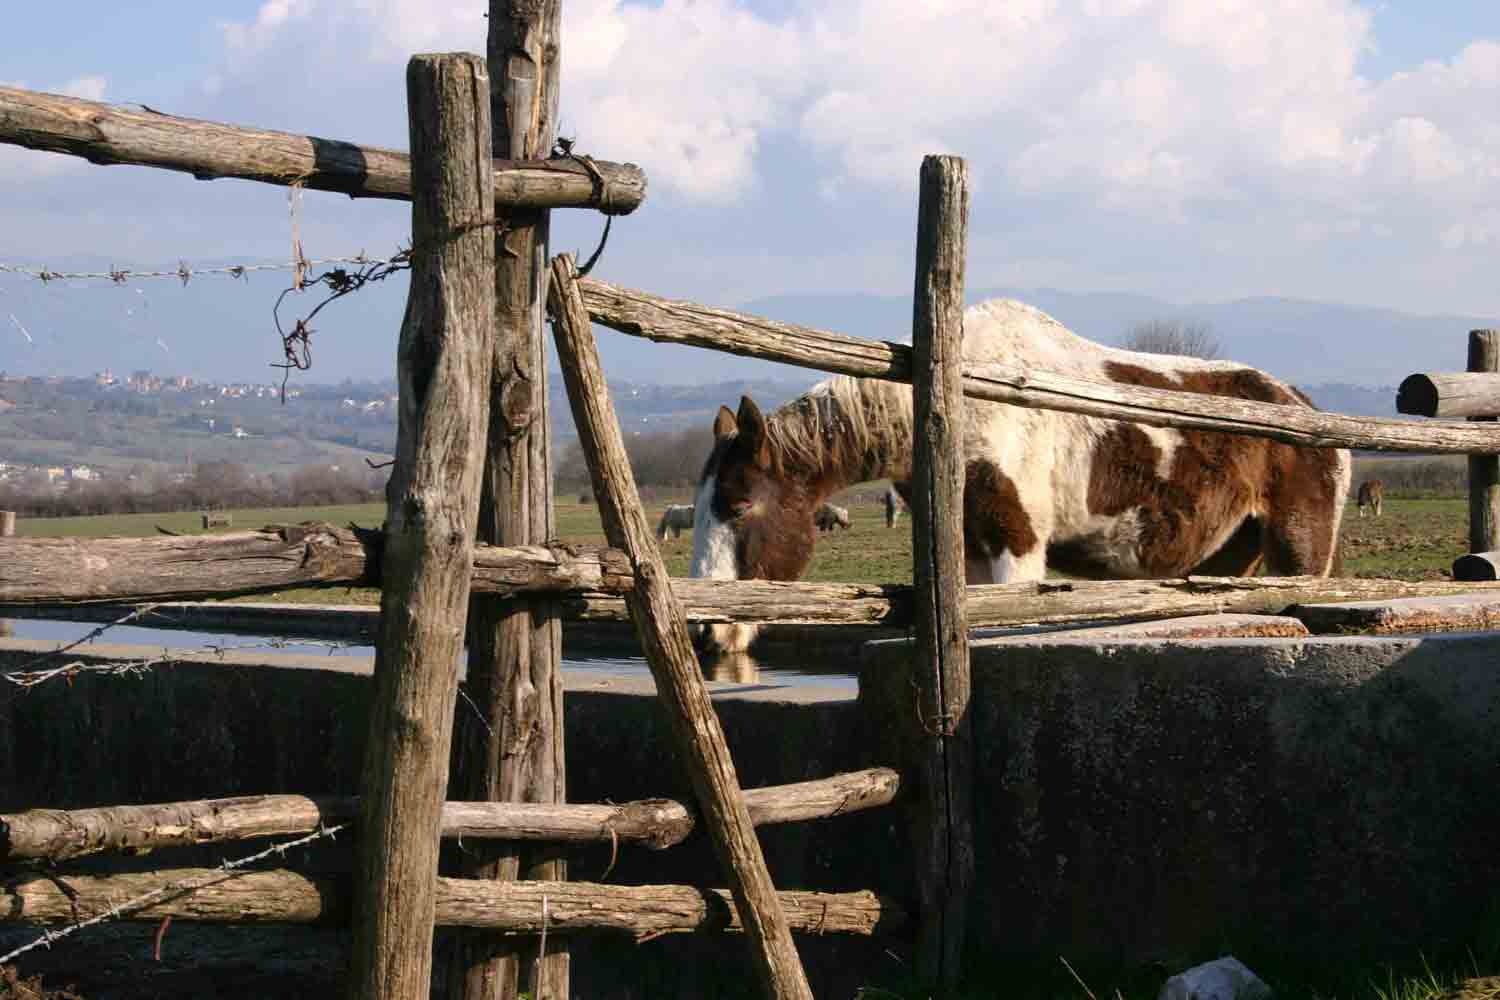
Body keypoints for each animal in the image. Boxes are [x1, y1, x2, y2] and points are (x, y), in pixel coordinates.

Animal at [690, 299, 1350, 656]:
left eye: (741, 506)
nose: (706, 635)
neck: (956, 405)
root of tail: (1306, 407)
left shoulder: (1019, 545)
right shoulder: (971, 550)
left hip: (1299, 549)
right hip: (1228, 557)